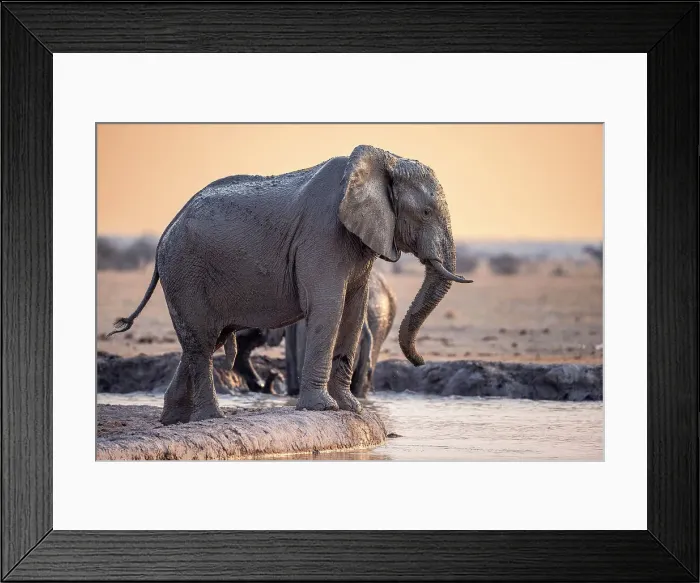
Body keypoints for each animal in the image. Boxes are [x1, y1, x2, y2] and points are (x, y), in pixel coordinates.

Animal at [109, 144, 472, 425]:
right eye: (426, 212)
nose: (420, 361)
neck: (384, 160)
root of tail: (166, 232)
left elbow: (353, 312)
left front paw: (351, 409)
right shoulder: (322, 235)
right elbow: (329, 308)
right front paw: (323, 408)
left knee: (202, 342)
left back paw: (174, 419)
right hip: (185, 272)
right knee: (201, 343)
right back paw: (209, 418)